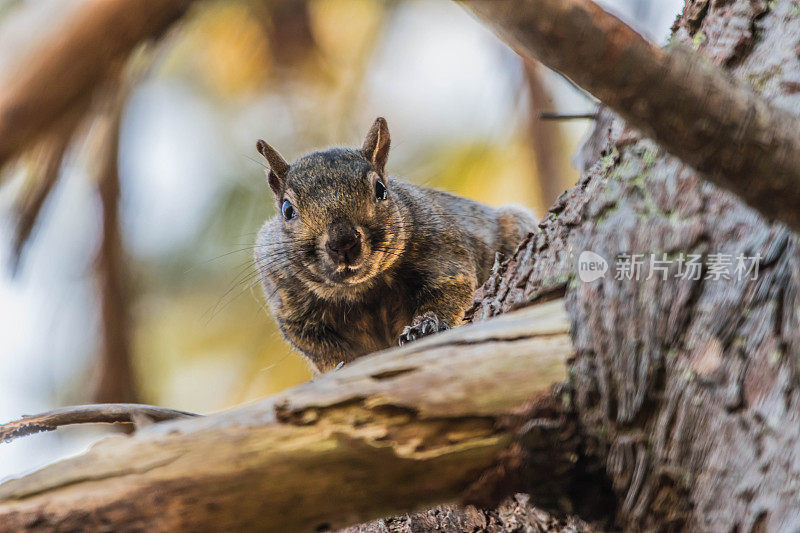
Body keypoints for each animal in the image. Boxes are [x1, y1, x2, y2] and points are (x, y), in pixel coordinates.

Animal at [253, 118, 536, 372]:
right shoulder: (288, 300)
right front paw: (340, 365)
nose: (343, 242)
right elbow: (319, 346)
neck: (362, 288)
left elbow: (448, 291)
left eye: (380, 189)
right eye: (287, 210)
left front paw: (424, 326)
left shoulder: (443, 250)